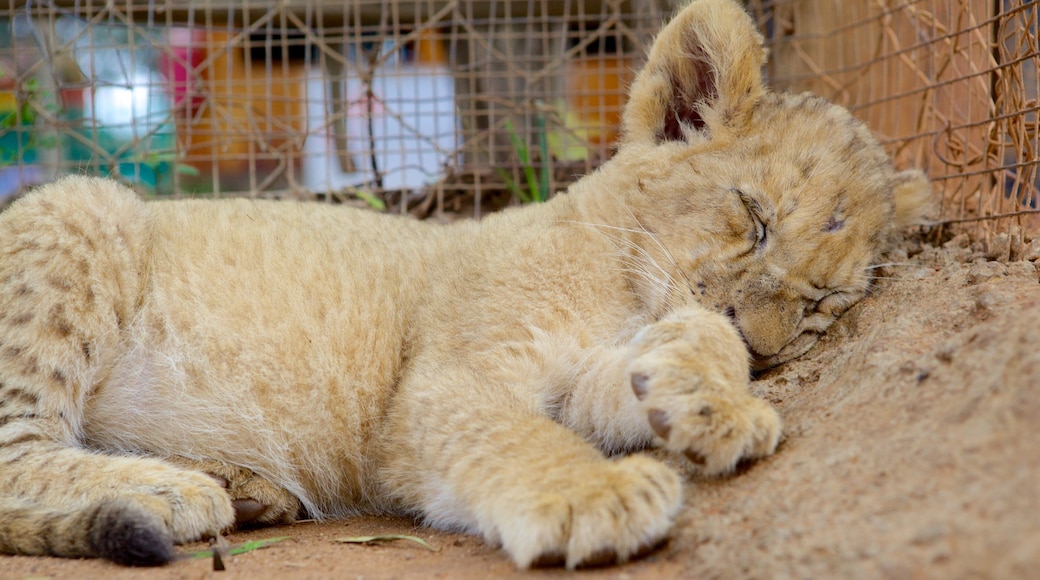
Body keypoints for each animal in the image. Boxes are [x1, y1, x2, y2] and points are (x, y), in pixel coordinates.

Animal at [0, 0, 930, 569]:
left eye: (822, 305)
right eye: (753, 217)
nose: (761, 347)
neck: (621, 285)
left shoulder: (582, 375)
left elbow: (663, 356)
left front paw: (712, 403)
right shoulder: (445, 383)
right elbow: (513, 437)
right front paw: (596, 493)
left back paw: (242, 489)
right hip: (85, 209)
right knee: (17, 454)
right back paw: (174, 491)